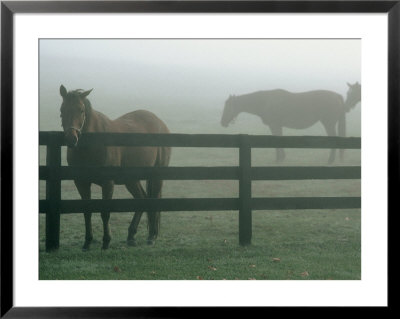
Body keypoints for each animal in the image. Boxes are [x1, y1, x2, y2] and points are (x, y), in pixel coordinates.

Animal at [59, 85, 170, 250]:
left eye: (81, 110)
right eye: (62, 109)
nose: (71, 139)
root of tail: (160, 123)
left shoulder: (107, 183)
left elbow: (105, 212)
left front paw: (106, 242)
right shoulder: (81, 182)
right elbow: (87, 211)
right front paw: (87, 242)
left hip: (156, 176)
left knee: (152, 201)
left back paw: (151, 237)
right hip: (131, 180)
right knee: (141, 198)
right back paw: (131, 236)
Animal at [220, 82, 360, 164]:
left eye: (227, 107)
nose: (222, 122)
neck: (265, 101)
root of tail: (337, 96)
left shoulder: (275, 125)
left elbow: (277, 141)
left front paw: (279, 159)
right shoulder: (277, 126)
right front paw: (281, 157)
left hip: (328, 124)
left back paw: (330, 160)